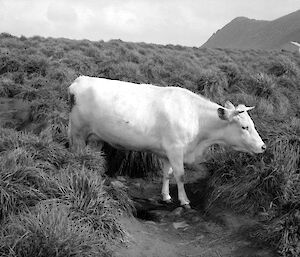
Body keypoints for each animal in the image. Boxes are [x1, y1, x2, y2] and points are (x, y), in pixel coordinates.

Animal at [67, 75, 264, 207]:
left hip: (95, 138)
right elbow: (180, 175)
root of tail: (79, 81)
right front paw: (184, 200)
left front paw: (166, 196)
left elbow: (167, 174)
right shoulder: (176, 149)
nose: (263, 146)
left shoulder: (165, 152)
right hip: (77, 134)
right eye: (244, 127)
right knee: (78, 158)